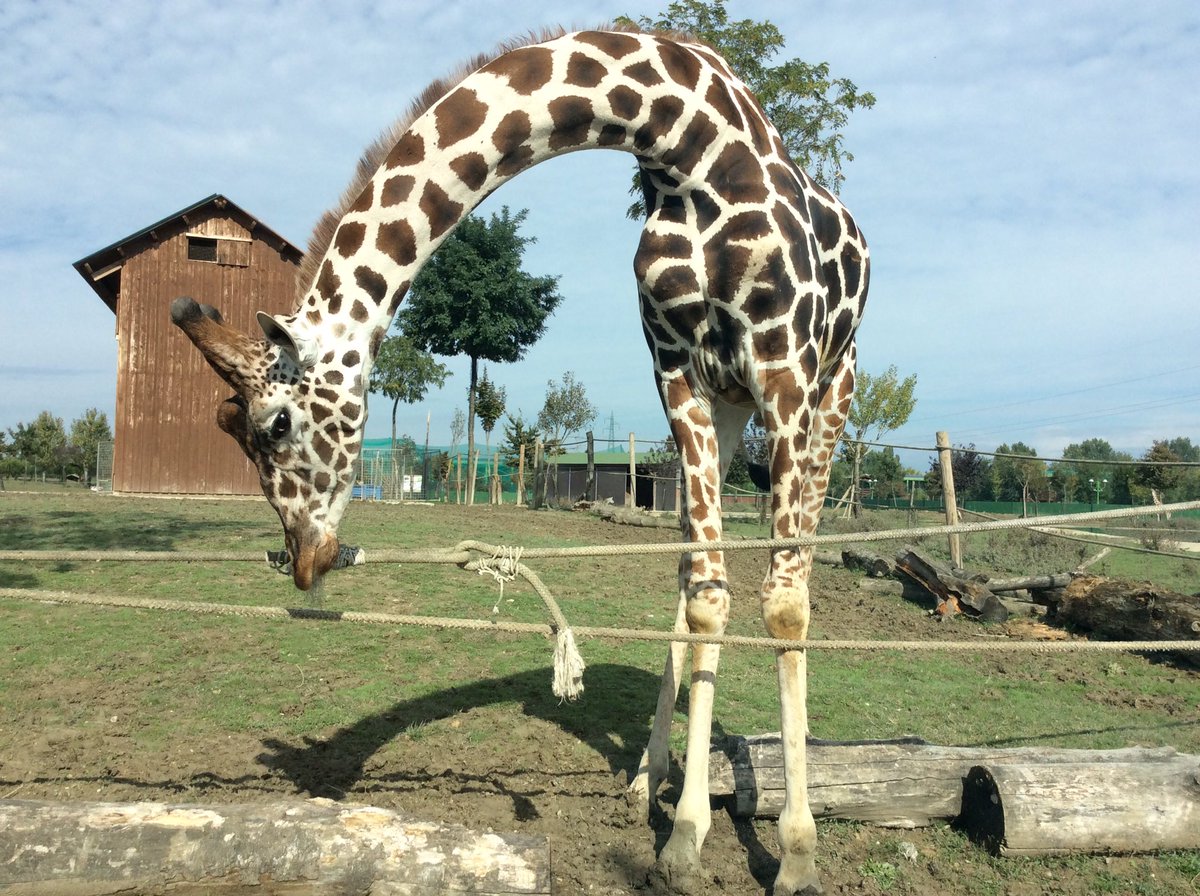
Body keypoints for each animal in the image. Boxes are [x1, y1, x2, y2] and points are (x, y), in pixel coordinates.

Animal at [171, 26, 868, 895]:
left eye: (274, 424)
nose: (305, 560)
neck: (691, 147)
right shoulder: (676, 366)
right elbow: (709, 594)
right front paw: (681, 840)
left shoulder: (785, 362)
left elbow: (786, 603)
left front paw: (797, 854)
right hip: (729, 404)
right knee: (689, 569)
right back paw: (648, 777)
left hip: (828, 390)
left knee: (789, 565)